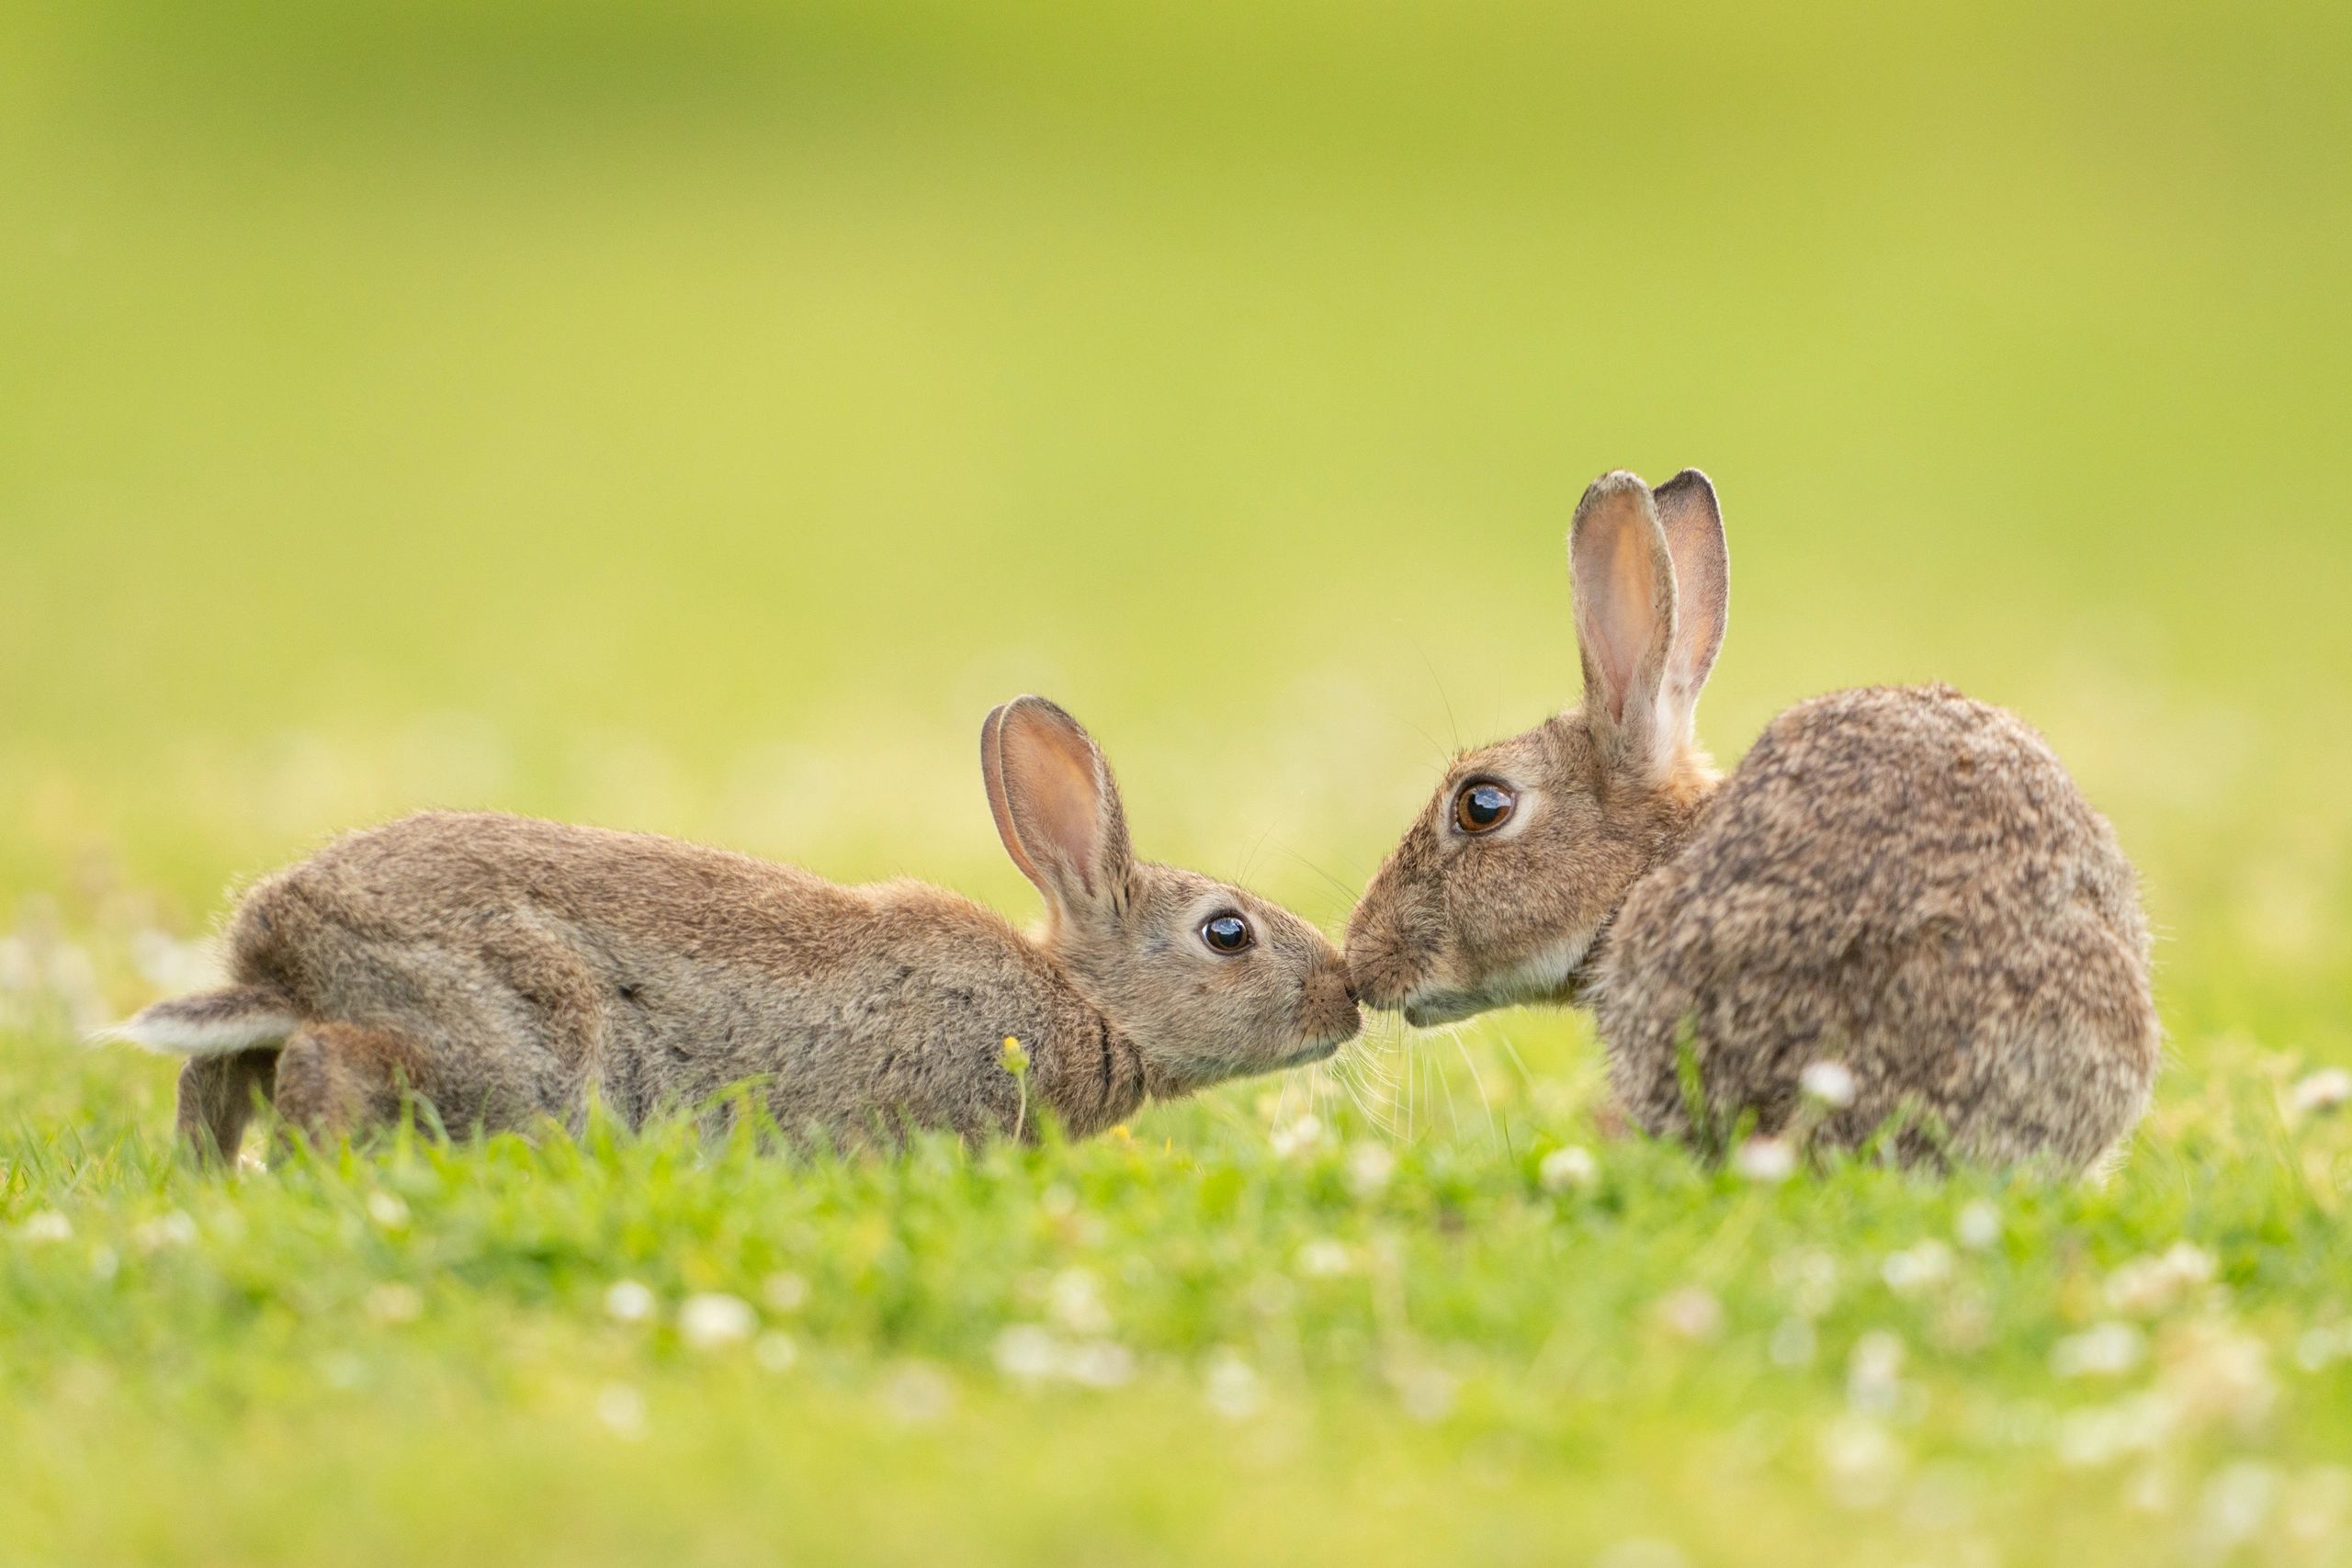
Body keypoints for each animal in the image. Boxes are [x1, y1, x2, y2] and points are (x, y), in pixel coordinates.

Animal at [111, 696, 1362, 1163]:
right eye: (1227, 935)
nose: (1346, 998)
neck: (1082, 1000)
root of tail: (282, 948)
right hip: (505, 1045)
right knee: (331, 1068)